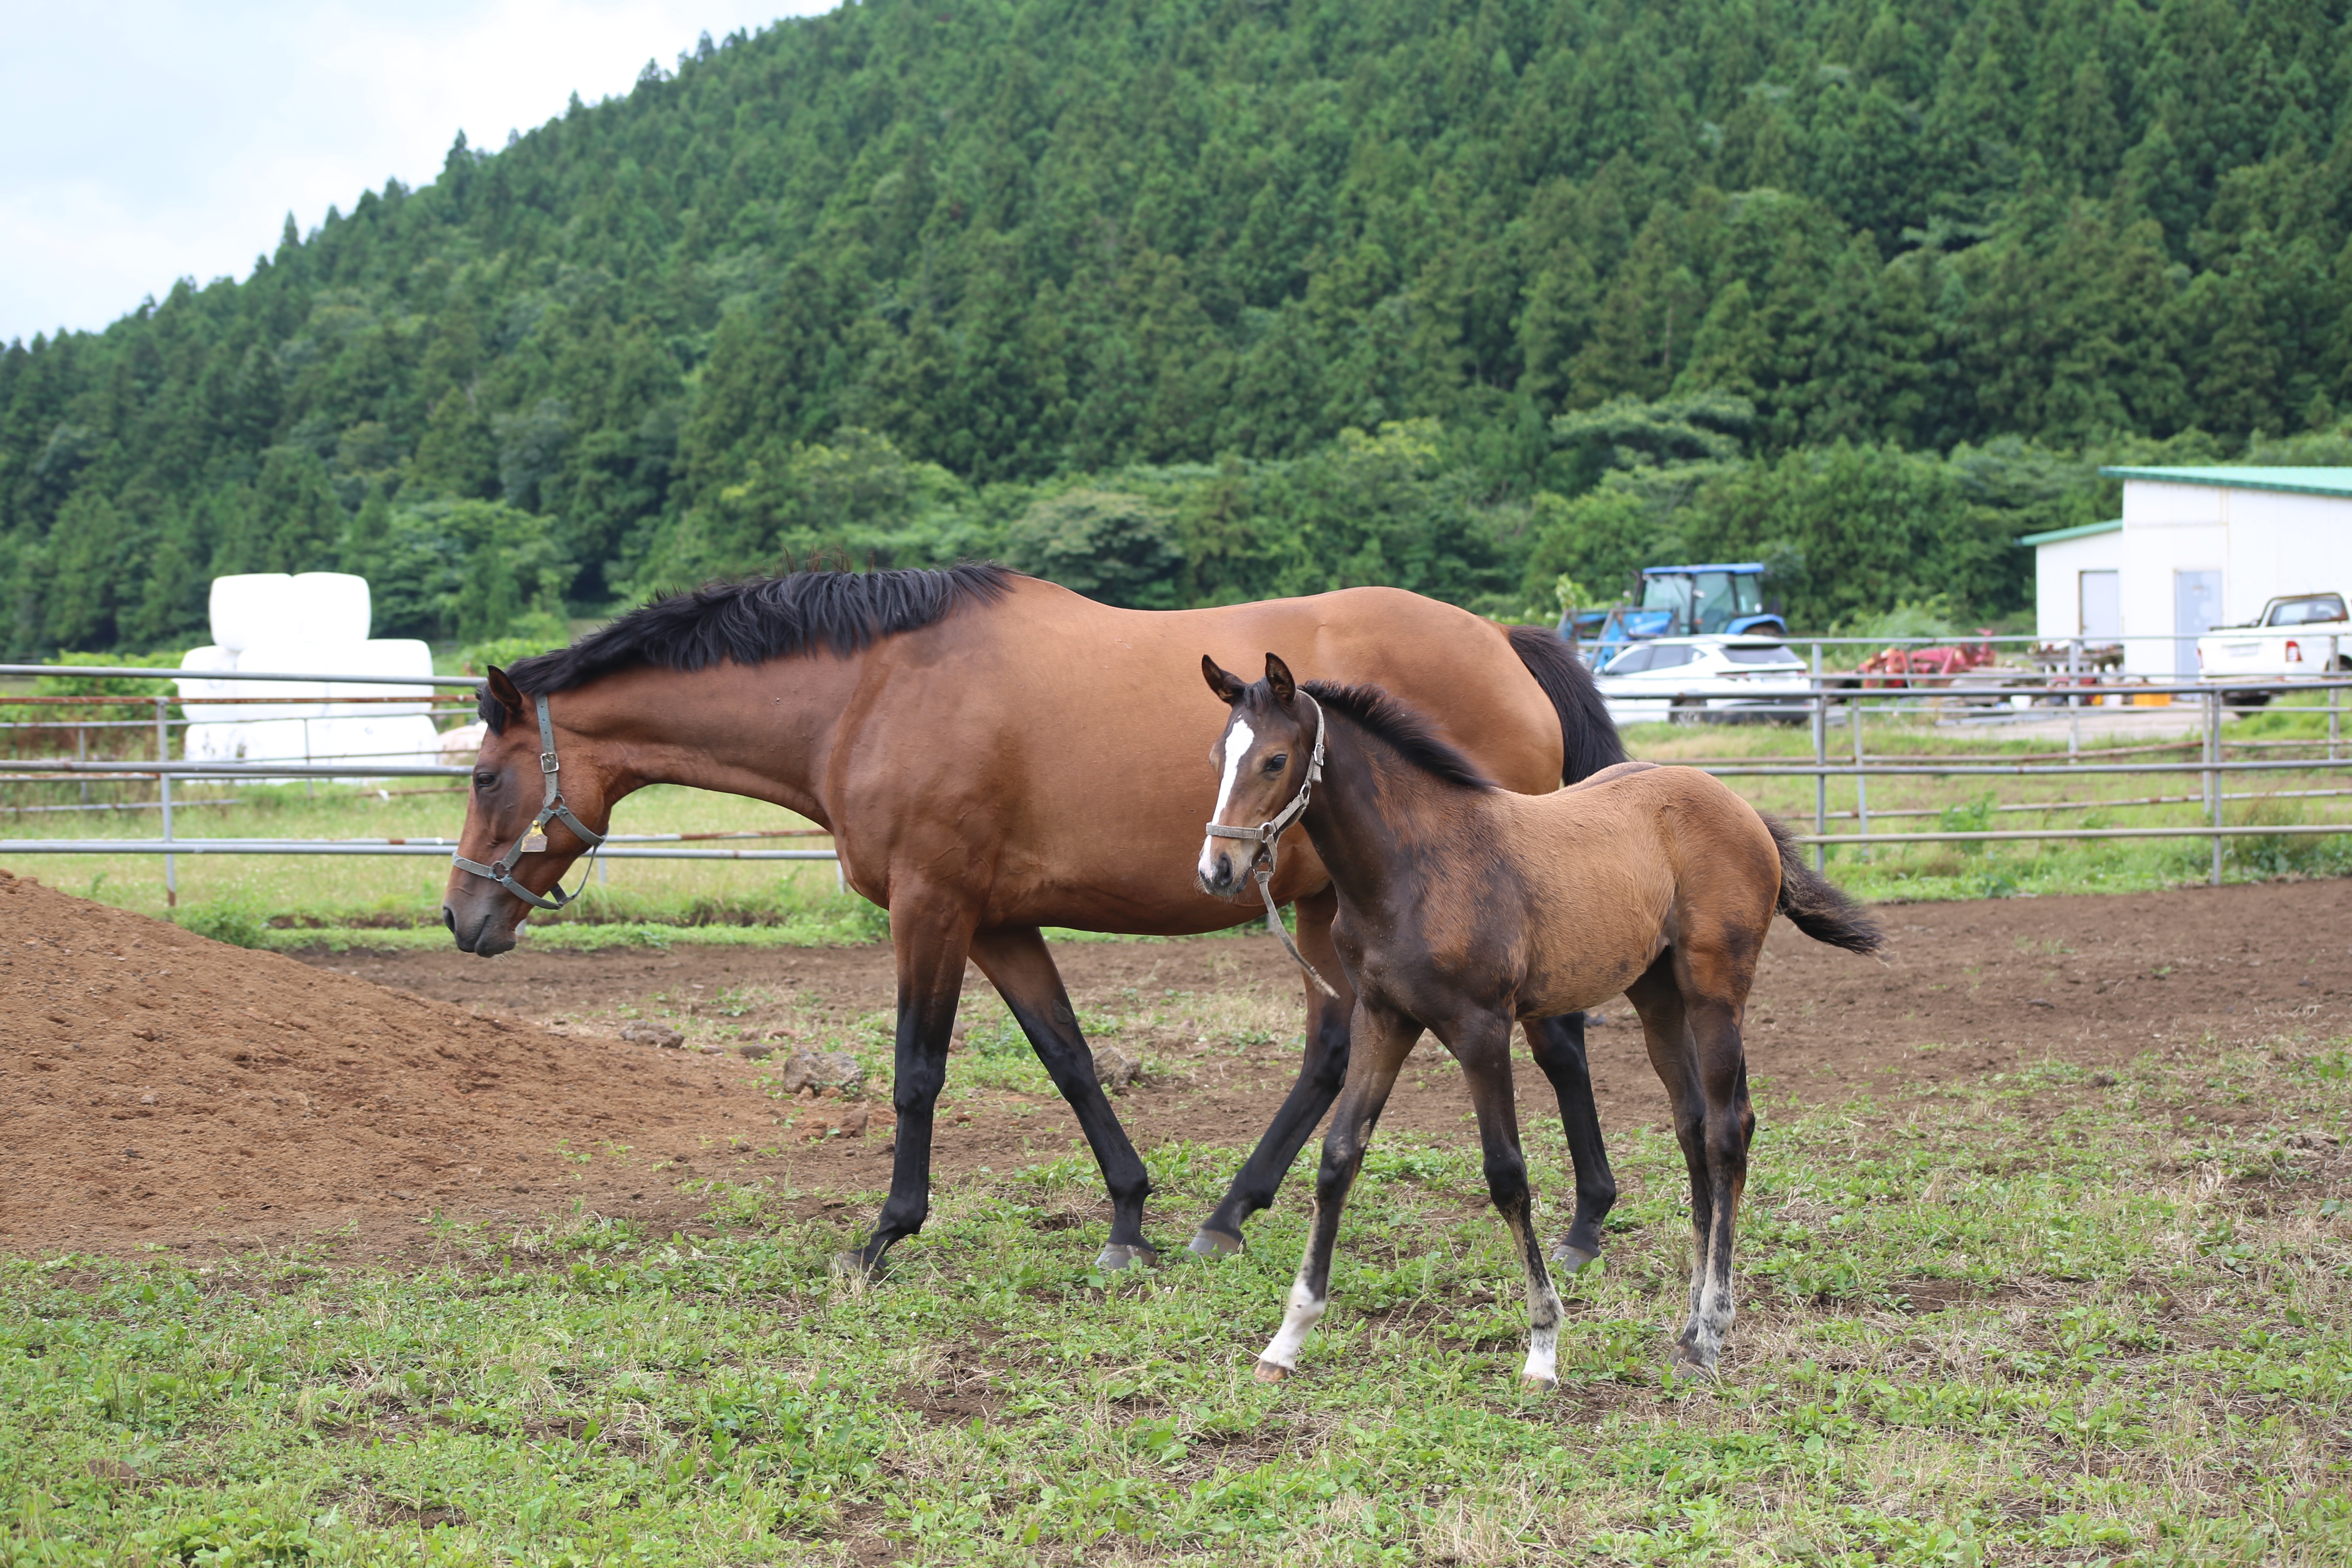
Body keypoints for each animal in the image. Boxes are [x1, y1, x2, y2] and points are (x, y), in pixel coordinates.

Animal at [1204, 653, 1882, 1382]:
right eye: (1218, 755)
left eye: (1276, 760)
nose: (1217, 869)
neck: (1413, 866)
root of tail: (1741, 806)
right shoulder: (1383, 1019)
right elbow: (1337, 1159)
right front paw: (1287, 1339)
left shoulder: (1481, 1029)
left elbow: (1507, 1174)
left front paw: (1543, 1345)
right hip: (1658, 997)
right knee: (1695, 1125)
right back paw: (1688, 1326)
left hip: (1716, 992)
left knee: (1728, 1131)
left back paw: (1709, 1334)